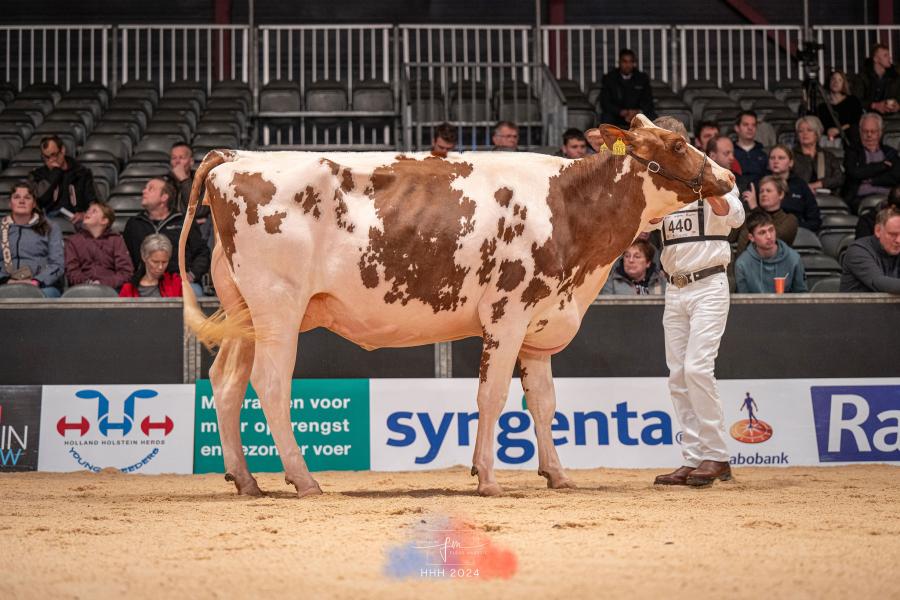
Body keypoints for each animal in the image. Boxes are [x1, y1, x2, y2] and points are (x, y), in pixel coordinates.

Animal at [179, 116, 736, 496]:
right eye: (678, 144)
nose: (729, 178)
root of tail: (237, 156)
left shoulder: (538, 326)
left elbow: (544, 403)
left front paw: (557, 475)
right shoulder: (507, 315)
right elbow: (492, 397)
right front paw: (487, 478)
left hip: (244, 312)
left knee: (225, 381)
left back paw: (246, 480)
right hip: (278, 308)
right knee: (270, 383)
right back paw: (304, 479)